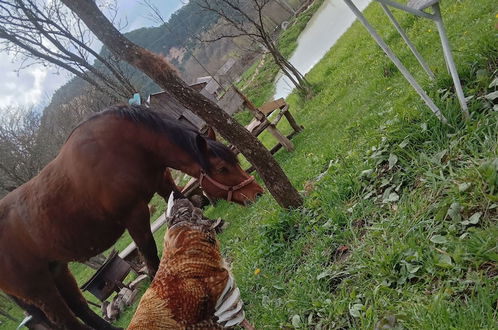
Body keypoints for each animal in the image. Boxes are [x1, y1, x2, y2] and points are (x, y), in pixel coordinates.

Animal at [0, 104, 264, 328]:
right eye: (222, 168)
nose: (258, 193)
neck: (127, 147)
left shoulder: (162, 181)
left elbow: (185, 205)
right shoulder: (135, 215)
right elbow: (150, 255)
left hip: (58, 272)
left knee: (82, 310)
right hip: (40, 290)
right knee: (65, 321)